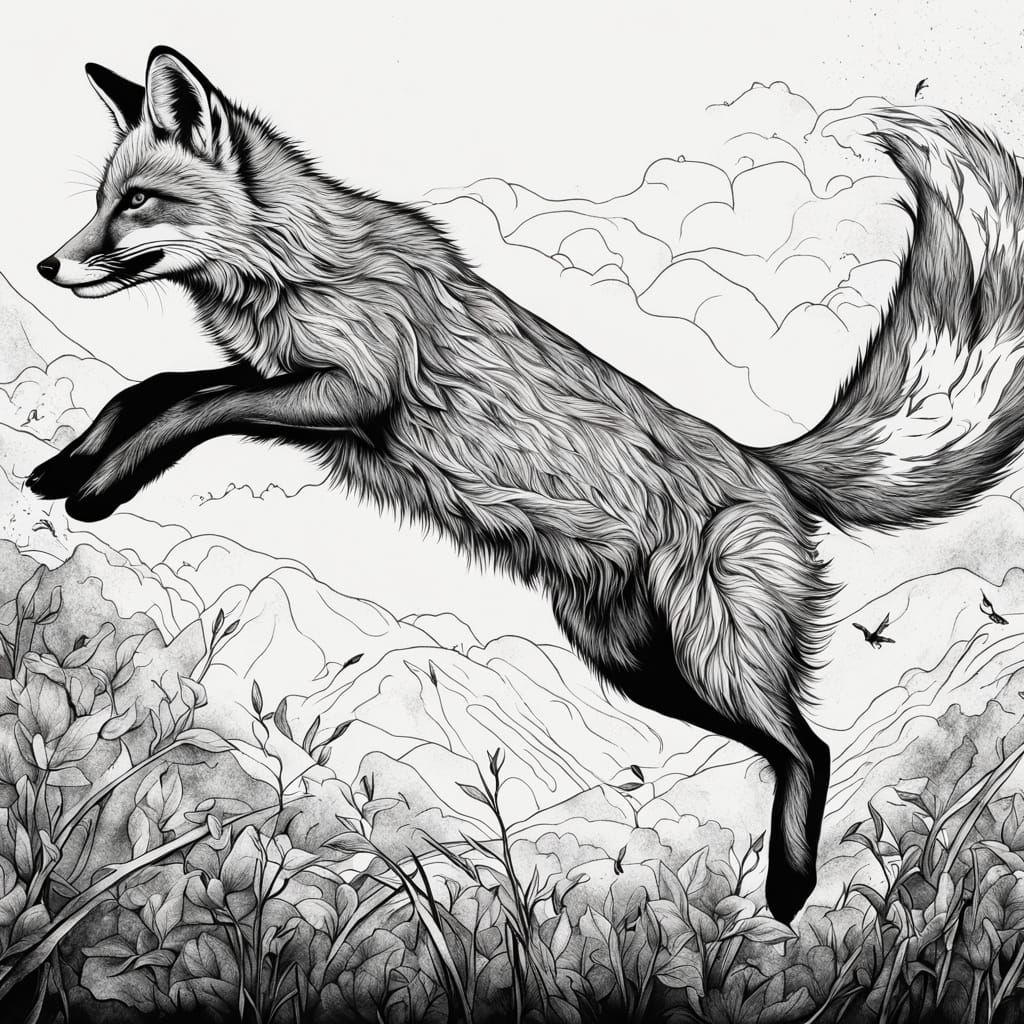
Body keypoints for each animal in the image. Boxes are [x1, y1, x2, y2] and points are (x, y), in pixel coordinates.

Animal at [28, 46, 1024, 923]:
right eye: (100, 200)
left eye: (137, 202)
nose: (47, 265)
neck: (298, 265)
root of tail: (768, 463)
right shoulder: (286, 386)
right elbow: (154, 390)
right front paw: (67, 465)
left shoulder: (341, 393)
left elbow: (185, 405)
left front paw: (97, 487)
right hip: (636, 664)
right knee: (785, 747)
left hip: (713, 651)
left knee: (811, 744)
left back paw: (789, 888)